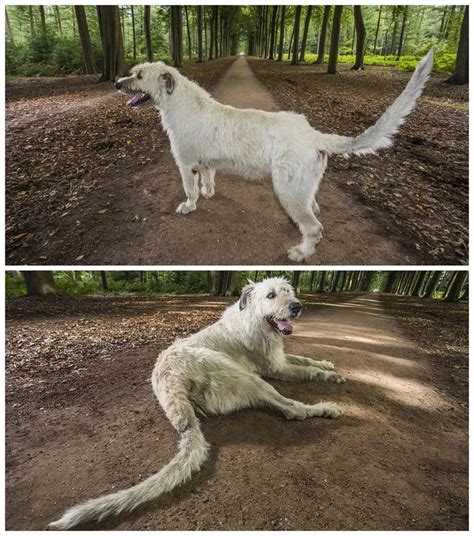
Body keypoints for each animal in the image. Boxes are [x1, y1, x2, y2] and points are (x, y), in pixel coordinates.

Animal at [50, 278, 344, 528]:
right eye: (271, 295)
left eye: (288, 291)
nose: (297, 306)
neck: (252, 318)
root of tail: (172, 387)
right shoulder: (275, 368)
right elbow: (306, 370)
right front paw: (331, 375)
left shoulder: (280, 357)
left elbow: (304, 359)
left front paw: (326, 364)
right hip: (243, 375)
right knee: (291, 409)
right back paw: (326, 408)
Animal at [115, 50, 434, 262]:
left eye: (139, 75)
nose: (117, 83)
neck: (180, 102)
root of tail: (313, 135)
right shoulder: (205, 163)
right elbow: (208, 178)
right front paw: (208, 192)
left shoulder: (184, 164)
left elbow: (189, 189)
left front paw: (189, 205)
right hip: (302, 187)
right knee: (313, 209)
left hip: (287, 189)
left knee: (315, 227)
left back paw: (302, 252)